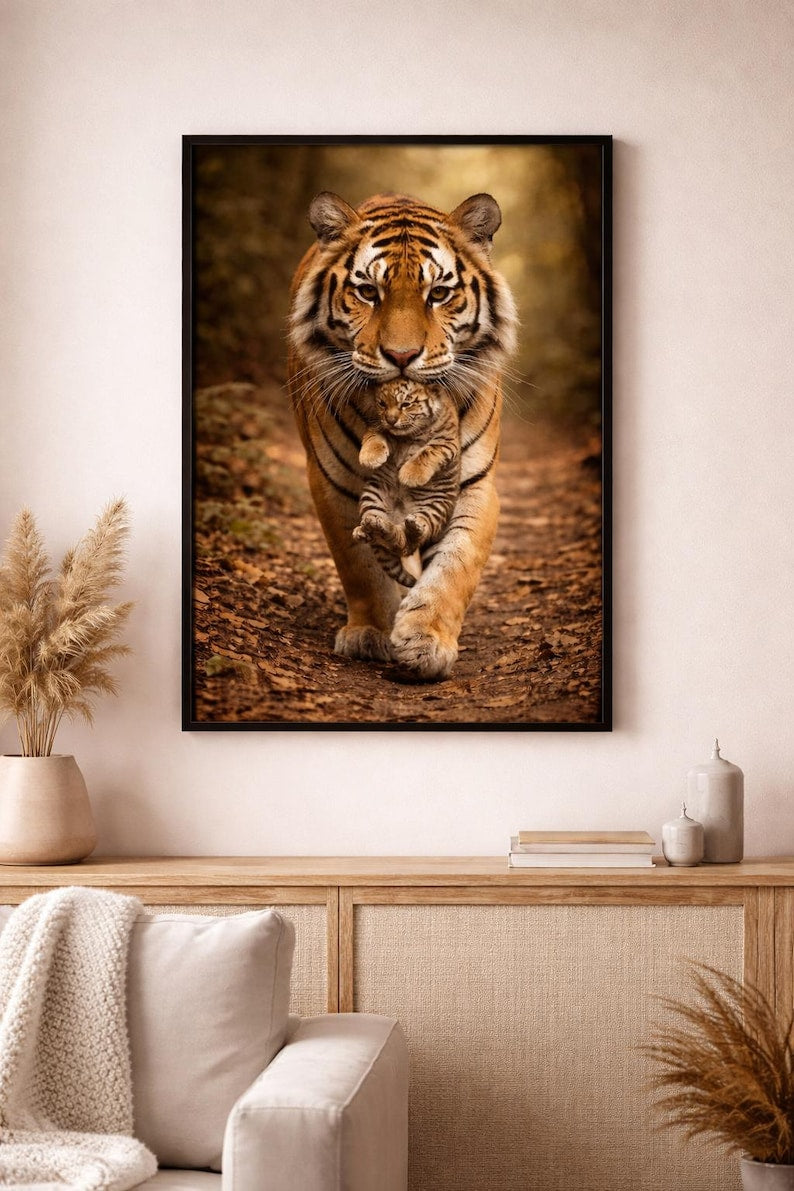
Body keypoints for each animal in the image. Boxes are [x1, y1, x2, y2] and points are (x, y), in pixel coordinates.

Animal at [354, 378, 461, 589]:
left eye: (406, 404)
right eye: (382, 404)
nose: (391, 420)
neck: (408, 435)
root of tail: (398, 516)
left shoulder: (447, 441)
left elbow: (428, 451)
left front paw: (410, 475)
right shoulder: (378, 426)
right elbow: (373, 436)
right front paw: (370, 457)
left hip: (433, 509)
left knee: (406, 544)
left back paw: (412, 527)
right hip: (372, 496)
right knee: (390, 541)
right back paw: (367, 528)